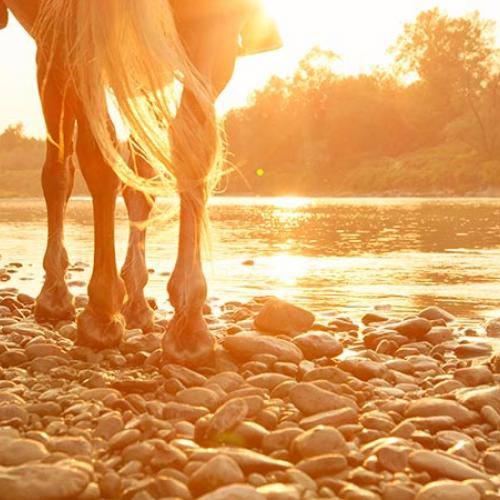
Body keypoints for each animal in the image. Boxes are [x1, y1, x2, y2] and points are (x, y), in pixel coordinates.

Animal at [0, 0, 282, 368]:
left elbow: (61, 173)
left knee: (104, 154)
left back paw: (104, 309)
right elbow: (138, 178)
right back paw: (187, 322)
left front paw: (56, 295)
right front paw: (132, 299)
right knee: (190, 141)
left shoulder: (53, 51)